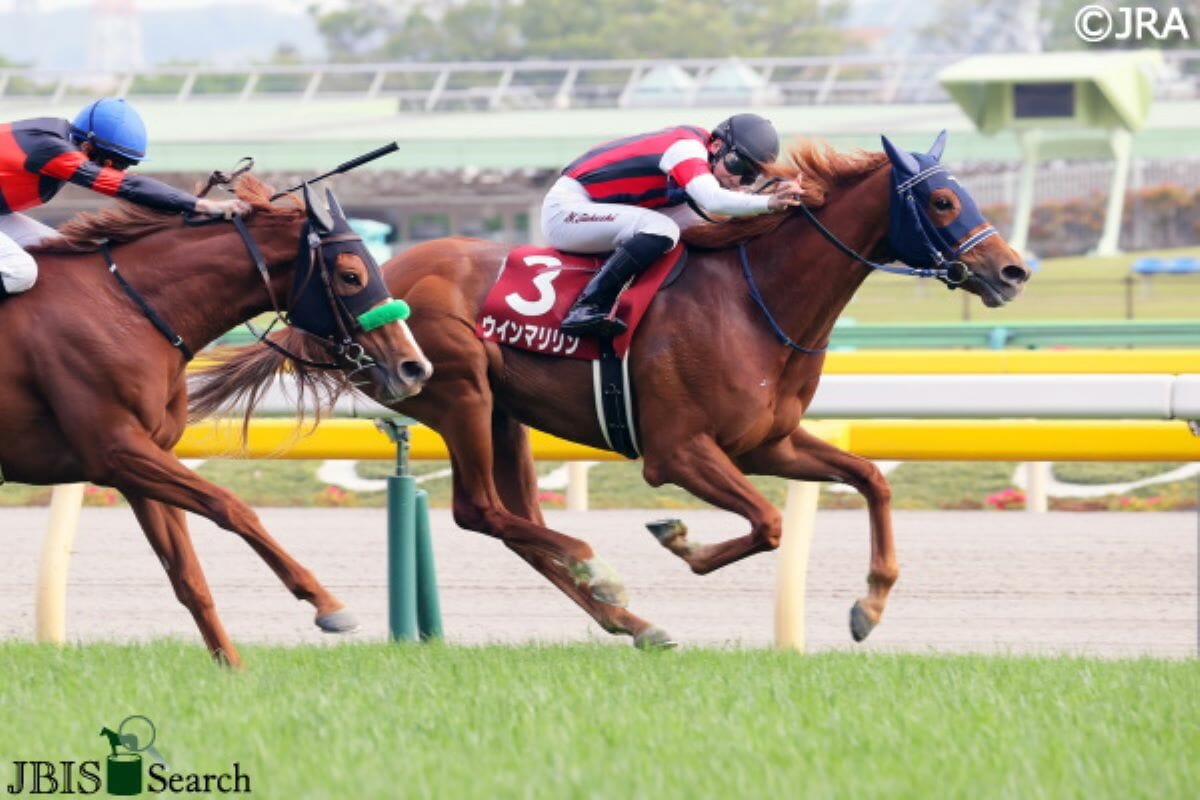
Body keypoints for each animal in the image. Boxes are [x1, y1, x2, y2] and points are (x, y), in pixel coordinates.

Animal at [0, 175, 432, 671]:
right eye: (351, 275)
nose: (414, 367)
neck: (120, 308)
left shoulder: (142, 457)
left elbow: (188, 577)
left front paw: (231, 665)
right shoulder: (116, 449)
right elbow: (231, 505)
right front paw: (329, 605)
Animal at [192, 136, 1027, 652]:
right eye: (943, 202)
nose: (1013, 271)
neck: (756, 299)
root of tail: (366, 285)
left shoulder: (768, 441)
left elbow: (871, 480)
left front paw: (869, 606)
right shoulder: (678, 453)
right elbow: (765, 524)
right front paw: (679, 539)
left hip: (504, 414)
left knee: (520, 525)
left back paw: (631, 620)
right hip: (457, 392)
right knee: (481, 512)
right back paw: (605, 577)